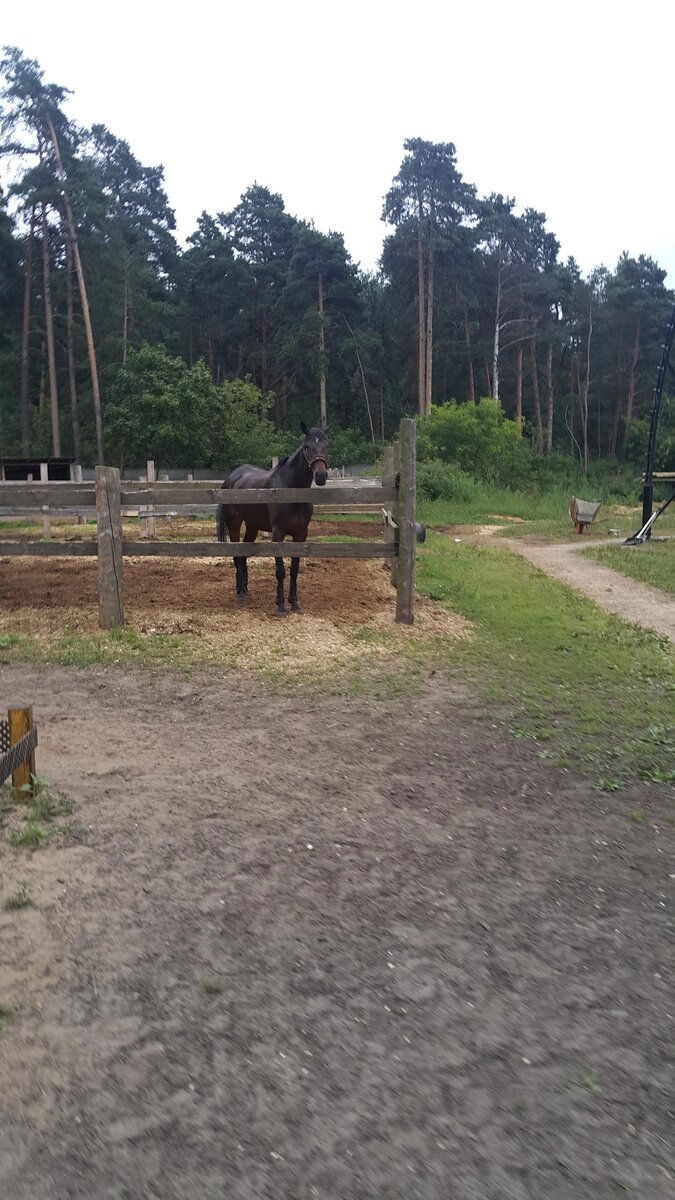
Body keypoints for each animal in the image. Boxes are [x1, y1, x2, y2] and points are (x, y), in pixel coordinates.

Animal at [214, 422, 329, 614]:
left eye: (326, 446)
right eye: (307, 446)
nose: (321, 476)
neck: (291, 492)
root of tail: (230, 479)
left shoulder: (300, 535)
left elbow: (294, 569)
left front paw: (294, 603)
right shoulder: (278, 534)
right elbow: (280, 570)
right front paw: (281, 605)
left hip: (252, 527)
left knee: (243, 555)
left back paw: (245, 589)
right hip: (234, 524)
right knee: (237, 556)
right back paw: (240, 593)